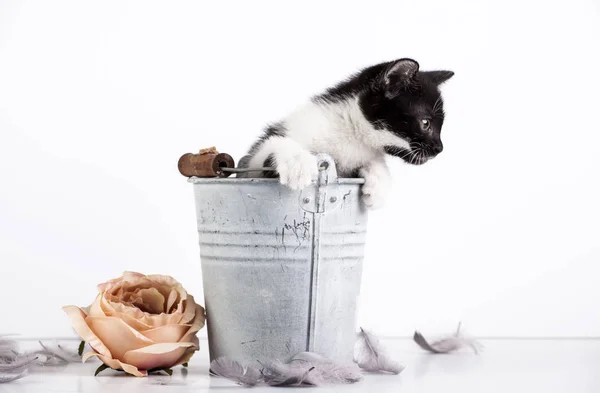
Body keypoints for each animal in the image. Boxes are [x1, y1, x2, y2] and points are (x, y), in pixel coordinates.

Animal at [241, 57, 452, 208]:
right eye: (425, 123)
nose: (439, 148)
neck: (352, 134)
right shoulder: (253, 165)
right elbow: (270, 148)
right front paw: (297, 162)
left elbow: (375, 162)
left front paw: (378, 184)